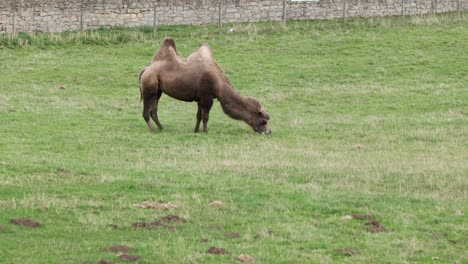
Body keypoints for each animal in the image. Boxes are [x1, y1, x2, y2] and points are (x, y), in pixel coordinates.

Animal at [139, 37, 270, 134]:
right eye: (263, 121)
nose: (269, 131)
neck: (220, 84)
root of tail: (145, 70)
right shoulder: (207, 97)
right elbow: (206, 116)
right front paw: (206, 131)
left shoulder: (200, 98)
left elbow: (199, 115)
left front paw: (196, 130)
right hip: (149, 86)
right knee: (146, 111)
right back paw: (152, 130)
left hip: (158, 91)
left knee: (153, 110)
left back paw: (161, 128)